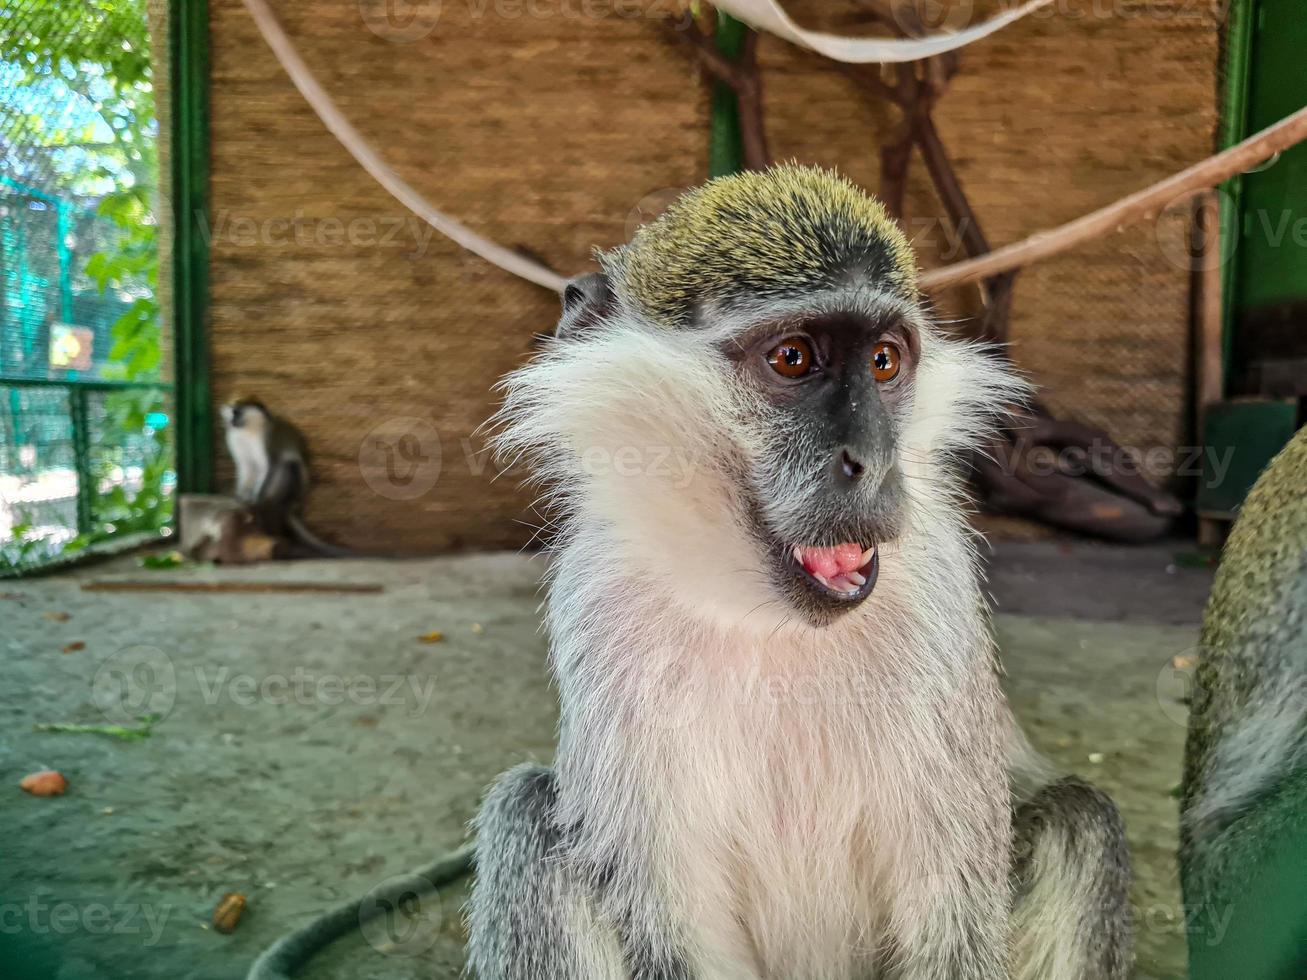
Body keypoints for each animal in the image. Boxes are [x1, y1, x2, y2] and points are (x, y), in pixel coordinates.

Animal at [470, 165, 1134, 977]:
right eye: (792, 358)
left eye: (883, 361)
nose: (874, 462)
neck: (767, 620)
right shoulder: (600, 612)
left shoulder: (941, 605)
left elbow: (956, 930)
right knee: (526, 813)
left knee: (1080, 820)